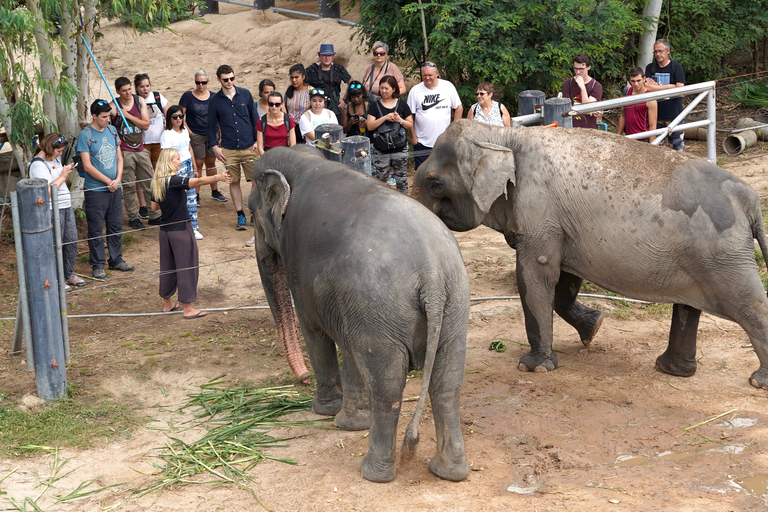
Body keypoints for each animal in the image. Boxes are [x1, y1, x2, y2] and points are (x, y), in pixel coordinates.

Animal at [249, 146, 472, 482]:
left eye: (251, 215)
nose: (302, 379)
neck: (303, 160)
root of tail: (431, 272)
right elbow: (348, 350)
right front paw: (349, 422)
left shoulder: (295, 257)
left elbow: (315, 333)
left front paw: (325, 411)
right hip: (453, 305)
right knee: (446, 384)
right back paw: (448, 472)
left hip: (380, 307)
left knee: (387, 386)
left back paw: (373, 472)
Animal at [416, 120, 768, 390]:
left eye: (434, 184)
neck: (504, 135)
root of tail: (749, 198)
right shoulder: (561, 223)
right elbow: (564, 280)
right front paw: (594, 328)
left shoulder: (538, 209)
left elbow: (535, 275)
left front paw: (534, 367)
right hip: (699, 256)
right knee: (688, 306)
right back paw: (671, 369)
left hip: (722, 256)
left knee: (749, 304)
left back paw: (757, 382)